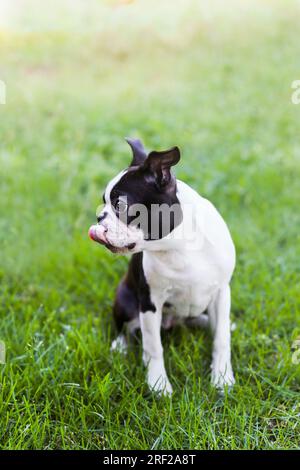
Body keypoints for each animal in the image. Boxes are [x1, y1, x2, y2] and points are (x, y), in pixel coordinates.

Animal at [88, 138, 236, 394]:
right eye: (104, 202)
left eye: (120, 205)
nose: (100, 217)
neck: (180, 246)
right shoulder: (150, 301)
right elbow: (153, 346)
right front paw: (158, 384)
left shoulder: (221, 292)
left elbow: (221, 338)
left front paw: (222, 378)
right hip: (124, 297)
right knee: (125, 328)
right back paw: (120, 346)